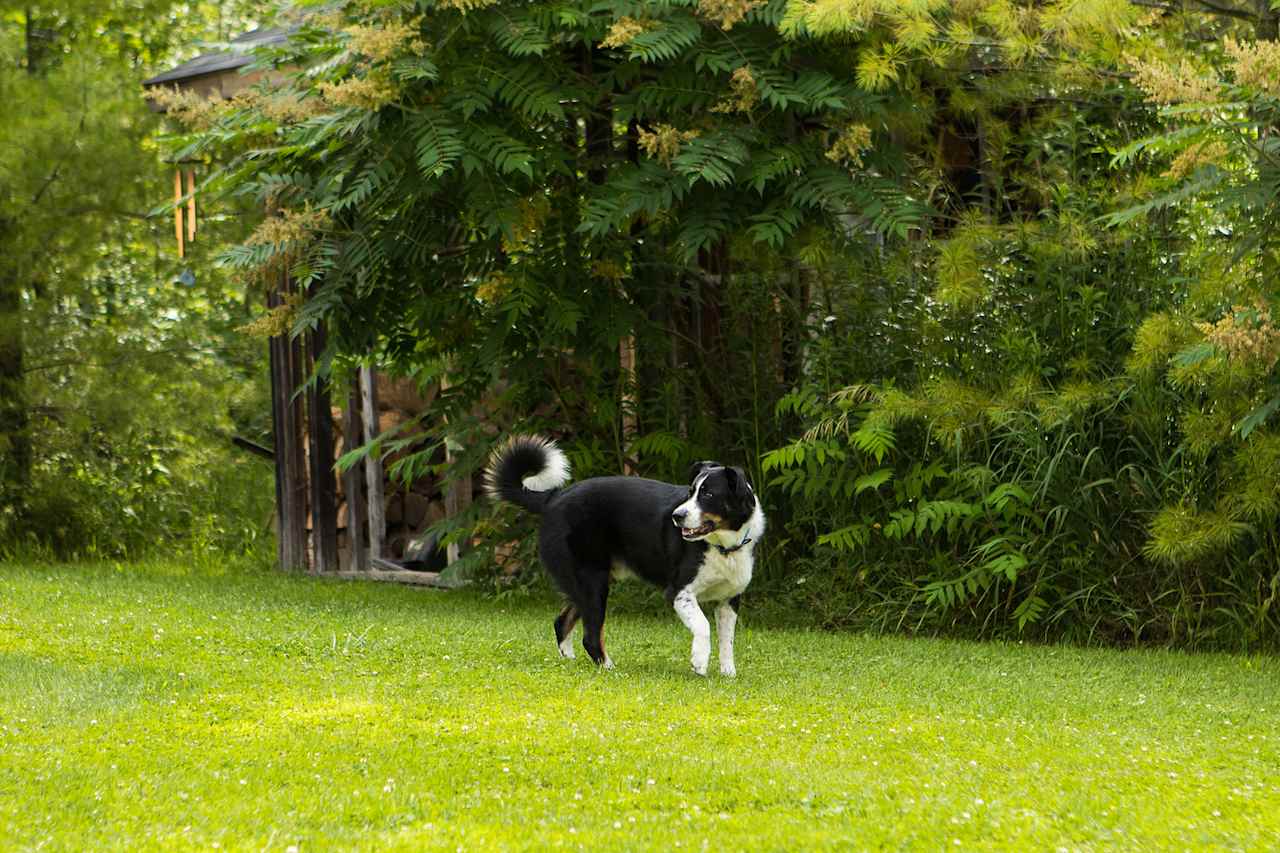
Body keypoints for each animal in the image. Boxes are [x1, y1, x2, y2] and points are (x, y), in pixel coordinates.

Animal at [483, 435, 762, 676]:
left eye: (708, 494)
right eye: (690, 492)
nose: (677, 516)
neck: (723, 548)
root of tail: (554, 497)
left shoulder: (729, 600)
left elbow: (727, 640)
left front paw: (728, 673)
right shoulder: (679, 592)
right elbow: (703, 626)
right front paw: (699, 662)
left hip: (586, 585)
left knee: (562, 622)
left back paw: (570, 661)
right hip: (592, 582)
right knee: (590, 636)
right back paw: (609, 668)